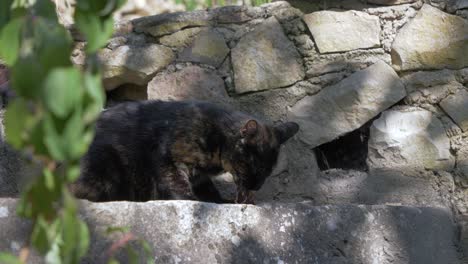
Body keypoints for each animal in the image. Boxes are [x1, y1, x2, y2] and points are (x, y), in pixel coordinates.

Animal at [71, 100, 298, 203]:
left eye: (268, 172)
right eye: (252, 167)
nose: (256, 187)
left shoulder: (200, 177)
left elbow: (209, 190)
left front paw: (221, 201)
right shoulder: (168, 159)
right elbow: (177, 185)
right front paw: (191, 200)